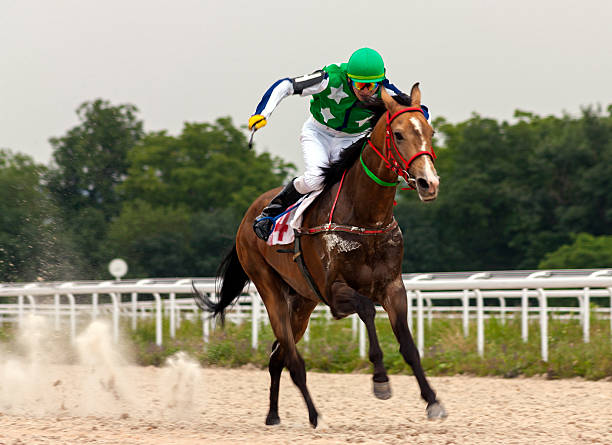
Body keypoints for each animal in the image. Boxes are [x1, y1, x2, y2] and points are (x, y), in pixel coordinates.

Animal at [194, 83, 448, 426]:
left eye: (430, 132)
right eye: (397, 134)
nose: (428, 182)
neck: (365, 218)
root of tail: (249, 215)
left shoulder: (394, 288)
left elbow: (409, 346)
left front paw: (432, 400)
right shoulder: (334, 291)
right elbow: (367, 310)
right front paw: (380, 380)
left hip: (302, 301)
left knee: (277, 356)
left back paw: (273, 414)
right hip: (270, 289)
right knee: (292, 359)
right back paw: (315, 415)